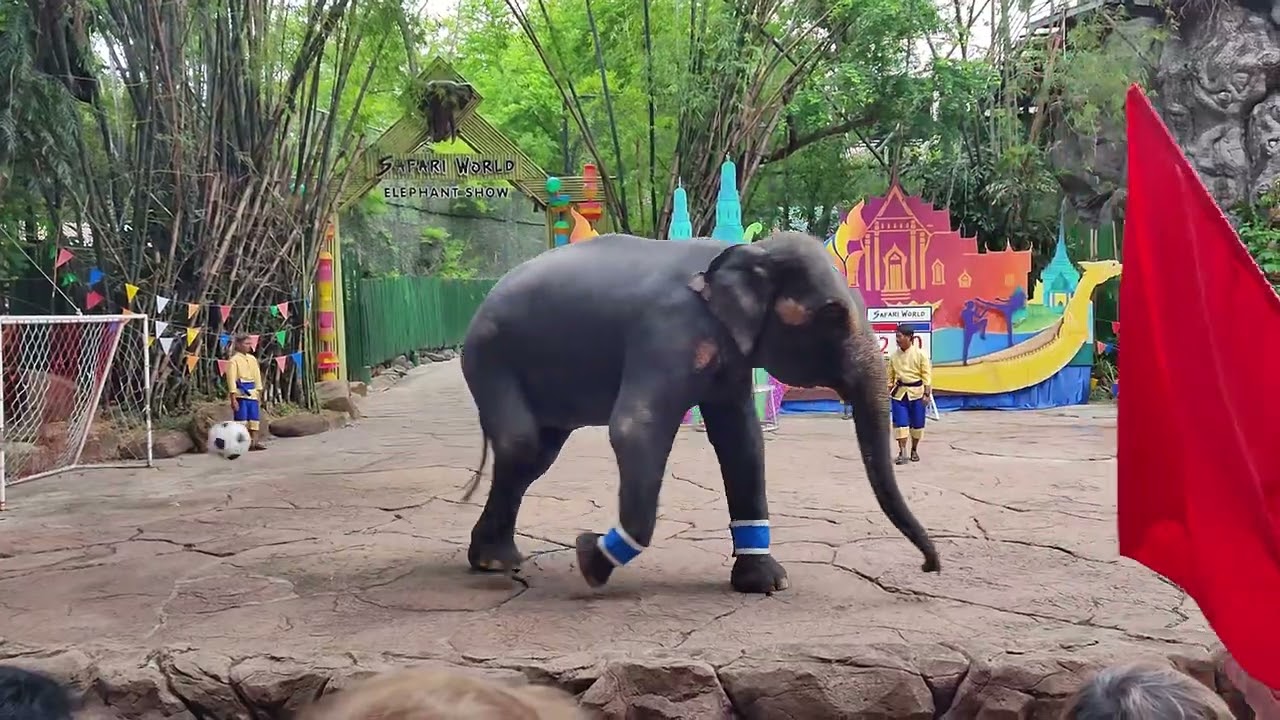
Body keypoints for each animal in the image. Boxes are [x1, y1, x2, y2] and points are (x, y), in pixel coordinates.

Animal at [459, 231, 940, 594]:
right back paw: (498, 563)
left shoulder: (730, 357)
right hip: (489, 356)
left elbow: (742, 441)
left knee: (535, 455)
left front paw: (766, 583)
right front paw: (589, 557)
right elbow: (635, 427)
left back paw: (493, 560)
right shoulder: (670, 332)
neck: (745, 252)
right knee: (522, 444)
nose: (928, 567)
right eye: (834, 317)